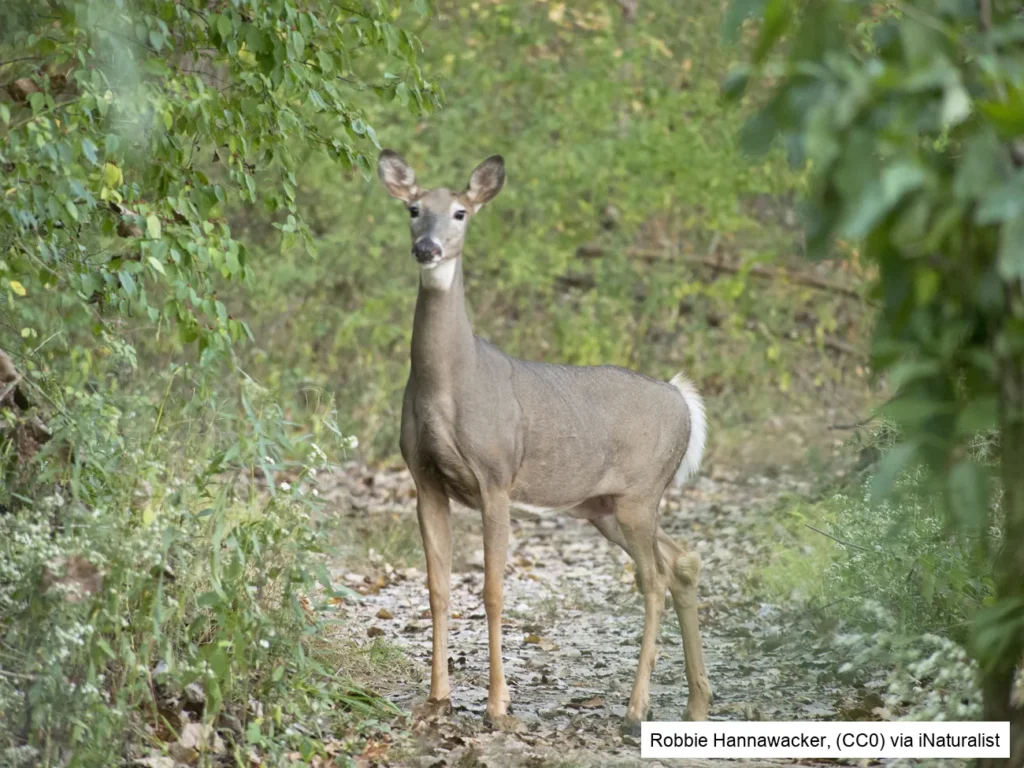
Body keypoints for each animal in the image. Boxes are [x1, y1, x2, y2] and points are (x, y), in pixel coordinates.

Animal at [376, 149, 712, 735]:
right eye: (414, 209)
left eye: (461, 212)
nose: (427, 247)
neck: (449, 384)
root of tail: (682, 399)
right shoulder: (424, 480)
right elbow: (437, 588)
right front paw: (436, 700)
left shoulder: (495, 477)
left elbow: (491, 590)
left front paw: (497, 706)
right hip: (604, 505)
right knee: (680, 562)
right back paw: (696, 704)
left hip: (642, 493)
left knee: (652, 578)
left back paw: (636, 708)